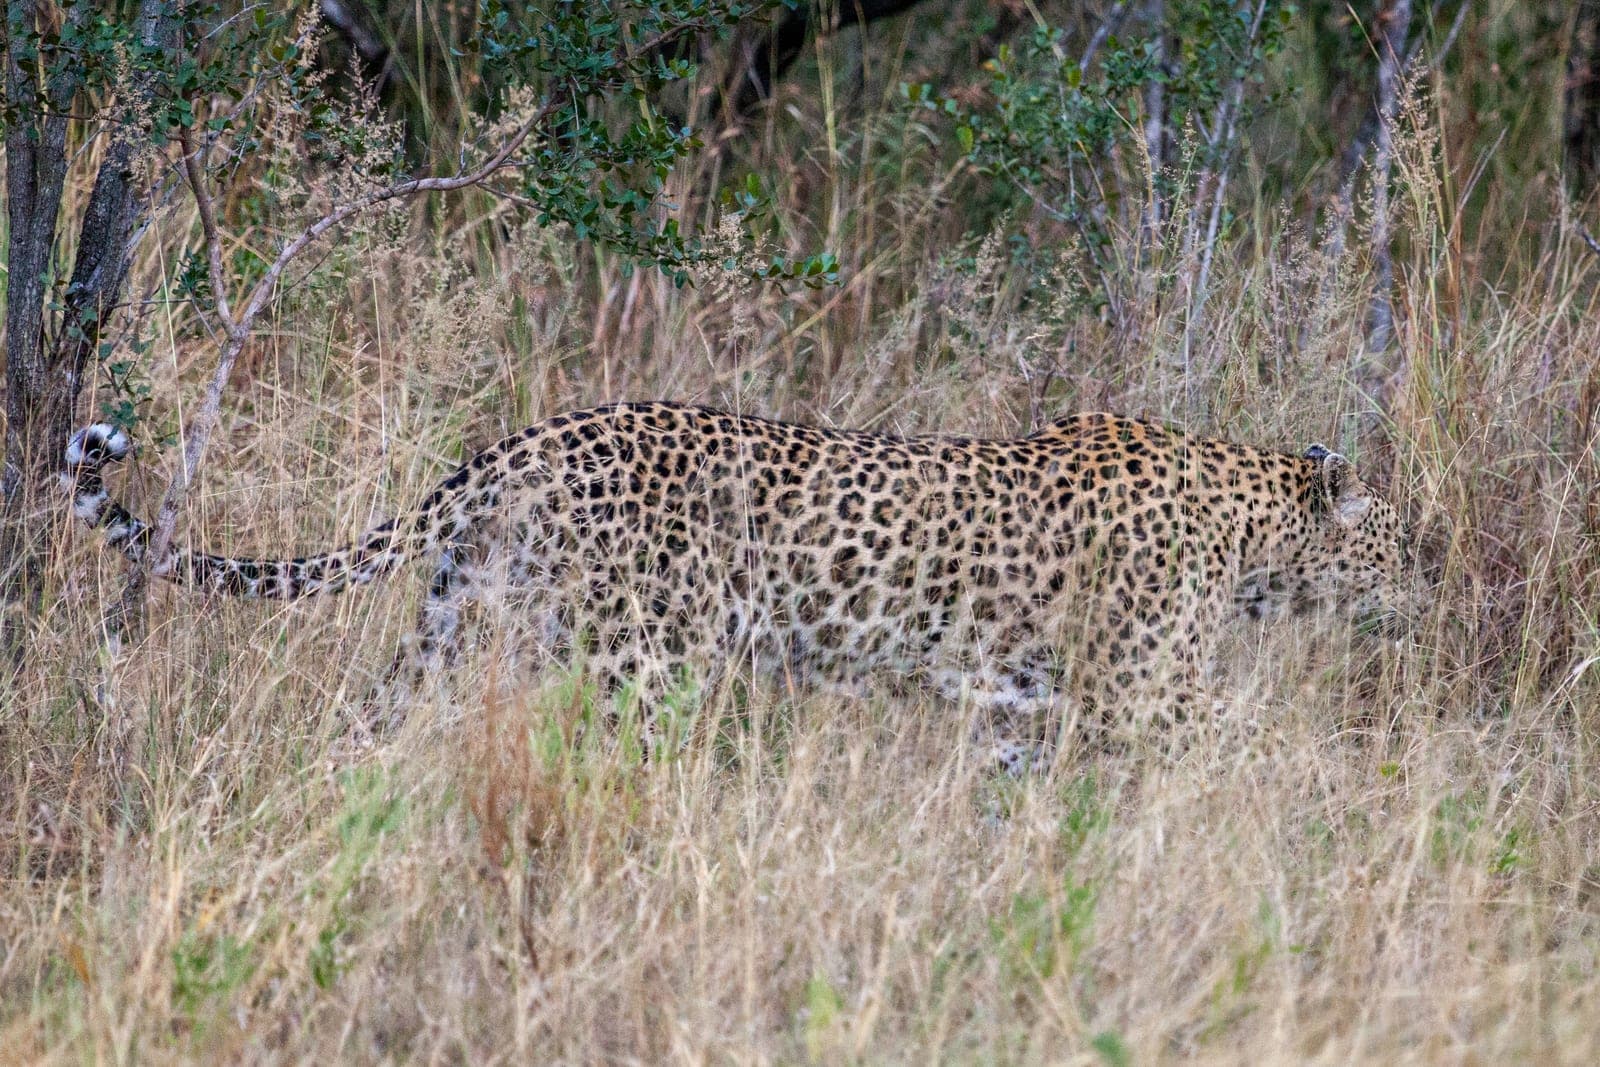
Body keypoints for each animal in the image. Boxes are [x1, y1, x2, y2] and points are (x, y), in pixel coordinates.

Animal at [65, 402, 1407, 767]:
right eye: (1397, 547)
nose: (1428, 590)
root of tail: (518, 442)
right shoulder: (1150, 691)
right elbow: (1252, 751)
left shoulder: (1023, 702)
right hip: (644, 661)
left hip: (449, 630)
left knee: (365, 737)